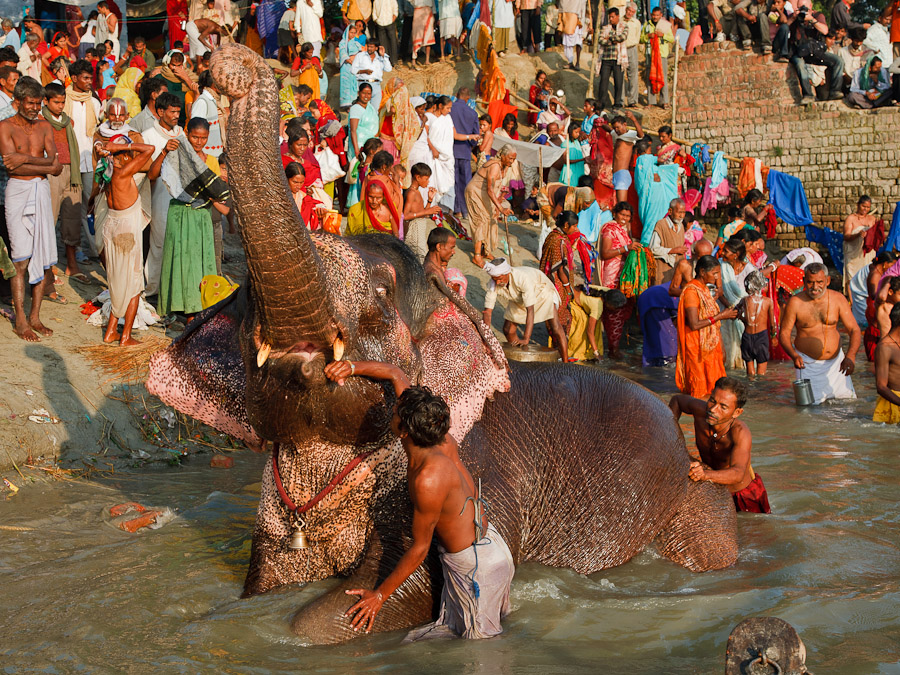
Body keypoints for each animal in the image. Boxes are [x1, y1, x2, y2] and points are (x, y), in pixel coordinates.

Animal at [148, 42, 740, 644]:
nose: (233, 62)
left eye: (380, 297)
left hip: (694, 502)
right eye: (246, 296)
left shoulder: (477, 467)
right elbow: (270, 582)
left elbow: (401, 584)